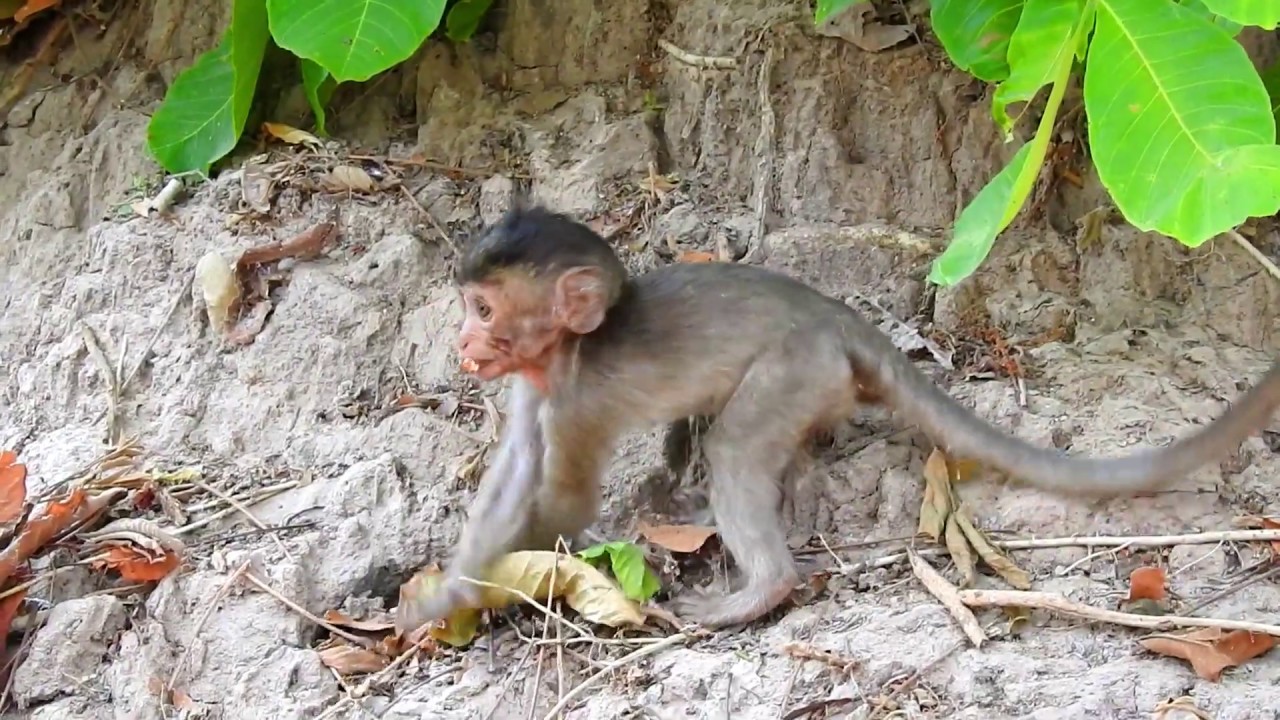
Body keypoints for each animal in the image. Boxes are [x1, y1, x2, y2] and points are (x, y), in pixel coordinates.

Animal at [395, 204, 1280, 634]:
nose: (464, 340)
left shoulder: (577, 399)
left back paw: (761, 587)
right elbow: (513, 475)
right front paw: (443, 590)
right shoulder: (536, 387)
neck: (570, 349)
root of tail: (833, 313)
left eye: (483, 309)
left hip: (798, 369)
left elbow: (565, 501)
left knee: (737, 448)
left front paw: (469, 595)